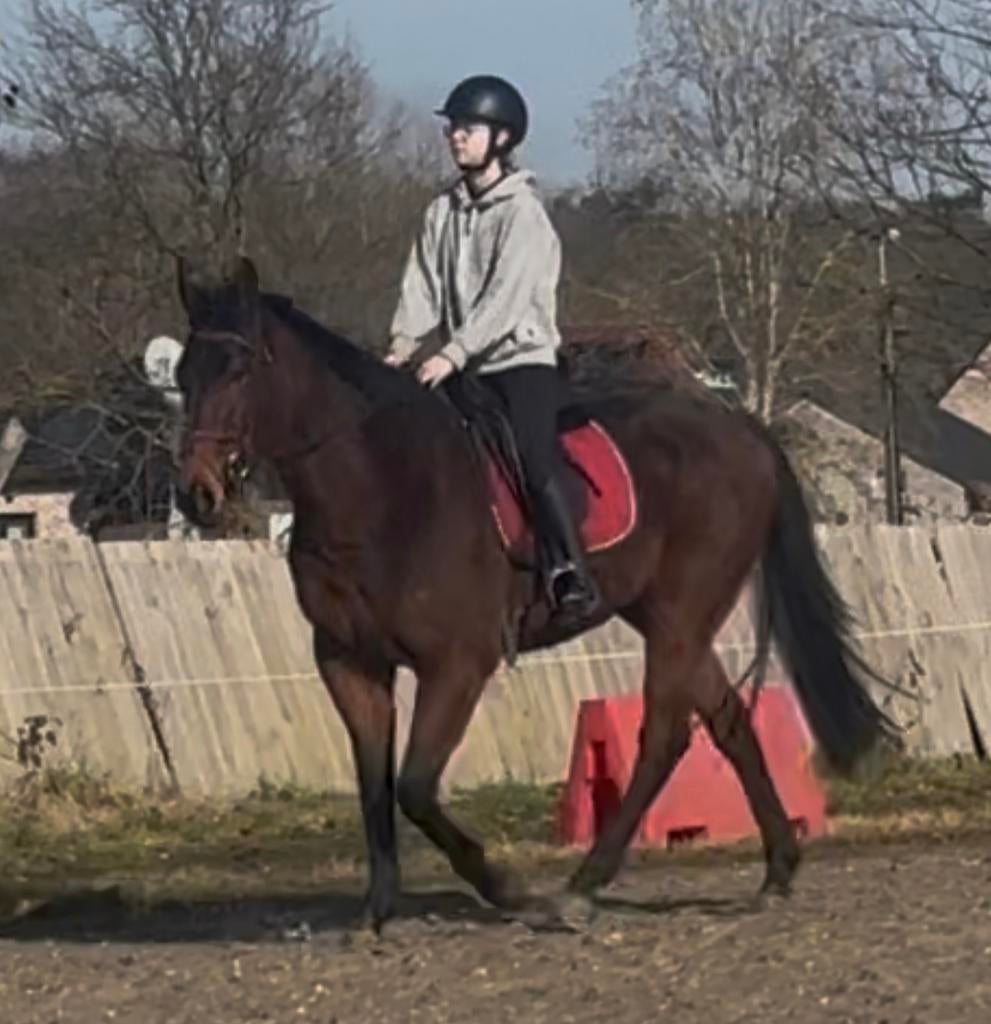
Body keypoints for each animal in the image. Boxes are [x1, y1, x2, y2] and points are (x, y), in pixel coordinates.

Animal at [173, 255, 899, 931]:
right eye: (182, 374)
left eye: (238, 370)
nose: (195, 495)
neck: (379, 488)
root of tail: (740, 427)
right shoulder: (350, 664)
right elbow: (374, 786)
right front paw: (376, 910)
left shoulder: (457, 666)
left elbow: (414, 787)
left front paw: (508, 890)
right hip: (672, 619)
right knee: (728, 722)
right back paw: (777, 869)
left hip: (681, 615)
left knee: (664, 737)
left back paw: (583, 886)